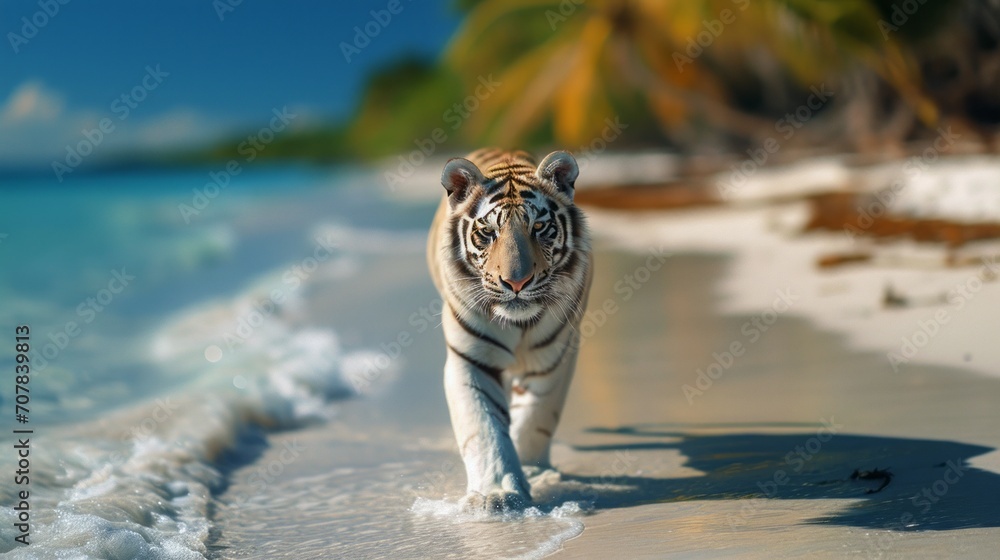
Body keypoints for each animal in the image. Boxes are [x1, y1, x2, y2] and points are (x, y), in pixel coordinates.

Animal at [424, 149, 592, 512]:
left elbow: (536, 417)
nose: (516, 282)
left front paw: (532, 471)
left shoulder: (555, 359)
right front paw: (497, 495)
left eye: (539, 227)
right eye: (488, 232)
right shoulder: (471, 360)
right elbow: (484, 428)